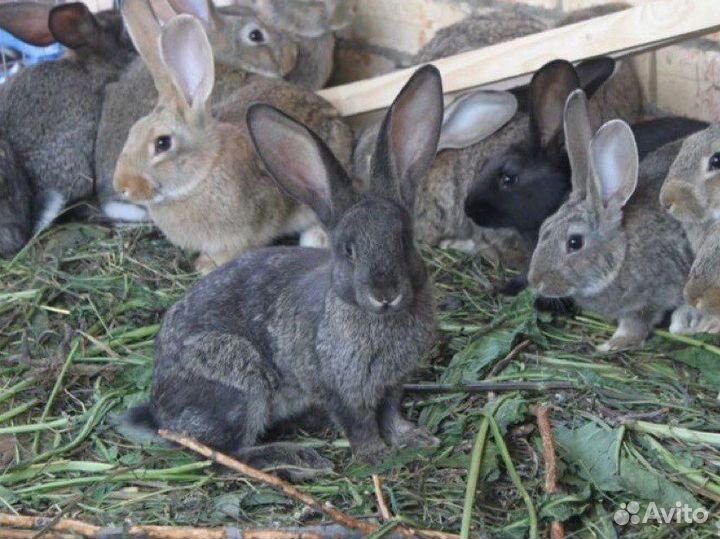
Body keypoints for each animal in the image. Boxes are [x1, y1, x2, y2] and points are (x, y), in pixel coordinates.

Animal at [118, 65, 444, 477]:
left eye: (404, 240)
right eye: (347, 249)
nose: (384, 294)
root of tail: (160, 413)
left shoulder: (392, 384)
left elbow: (389, 415)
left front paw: (413, 439)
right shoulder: (336, 388)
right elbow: (360, 425)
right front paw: (375, 457)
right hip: (239, 381)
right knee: (226, 457)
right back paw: (299, 459)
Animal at [527, 90, 694, 351]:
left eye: (574, 243)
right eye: (544, 227)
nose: (535, 281)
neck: (622, 253)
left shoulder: (651, 297)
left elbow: (637, 324)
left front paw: (613, 344)